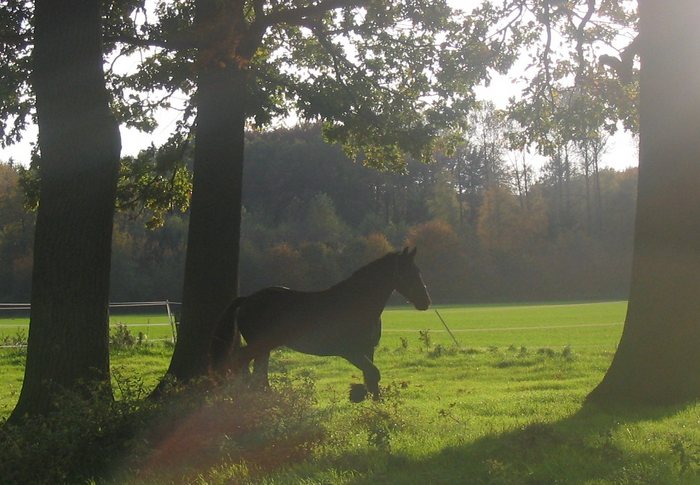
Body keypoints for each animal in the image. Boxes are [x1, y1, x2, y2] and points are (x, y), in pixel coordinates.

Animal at [211, 246, 430, 400]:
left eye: (419, 271)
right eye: (409, 272)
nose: (425, 301)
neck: (357, 302)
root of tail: (247, 300)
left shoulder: (368, 349)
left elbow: (371, 379)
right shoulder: (350, 351)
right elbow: (374, 374)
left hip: (264, 348)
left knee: (257, 372)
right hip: (260, 345)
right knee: (243, 364)